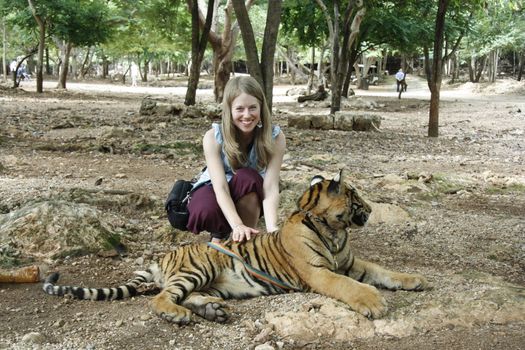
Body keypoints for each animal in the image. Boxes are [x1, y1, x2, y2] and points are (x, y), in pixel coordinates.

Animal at [43, 169, 428, 322]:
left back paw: (211, 310)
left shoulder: (351, 263)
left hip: (214, 282)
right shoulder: (321, 273)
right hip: (200, 267)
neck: (333, 231)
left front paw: (414, 280)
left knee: (185, 294)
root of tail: (167, 254)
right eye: (355, 196)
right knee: (162, 297)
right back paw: (179, 315)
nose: (372, 210)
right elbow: (348, 285)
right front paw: (373, 302)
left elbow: (383, 270)